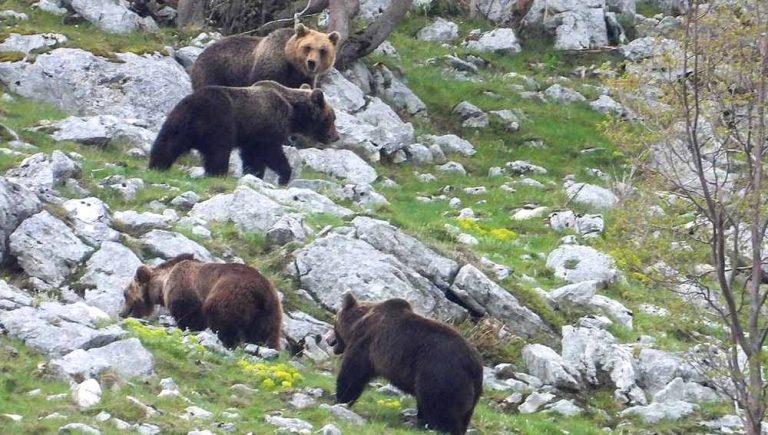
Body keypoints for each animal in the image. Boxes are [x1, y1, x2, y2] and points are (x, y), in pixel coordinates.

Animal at [121, 254, 284, 350]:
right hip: (270, 313)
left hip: (230, 296)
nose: (122, 313)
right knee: (266, 335)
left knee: (223, 320)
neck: (162, 285)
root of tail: (261, 291)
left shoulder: (185, 291)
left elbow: (189, 318)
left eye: (125, 294)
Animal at [148, 80, 340, 184]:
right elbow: (270, 152)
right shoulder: (266, 126)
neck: (292, 112)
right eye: (332, 118)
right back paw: (218, 173)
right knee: (218, 152)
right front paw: (284, 175)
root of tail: (194, 105)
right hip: (219, 123)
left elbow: (252, 157)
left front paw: (254, 174)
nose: (336, 136)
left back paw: (157, 165)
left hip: (177, 123)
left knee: (166, 145)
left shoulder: (251, 136)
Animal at [189, 23, 340, 90]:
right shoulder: (271, 66)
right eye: (307, 47)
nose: (311, 62)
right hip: (215, 71)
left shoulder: (304, 78)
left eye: (323, 50)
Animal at [326, 294, 484, 434]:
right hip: (469, 391)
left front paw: (341, 399)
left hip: (439, 373)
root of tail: (475, 366)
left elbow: (353, 372)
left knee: (439, 406)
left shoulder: (367, 342)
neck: (356, 324)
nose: (327, 339)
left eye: (334, 322)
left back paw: (436, 427)